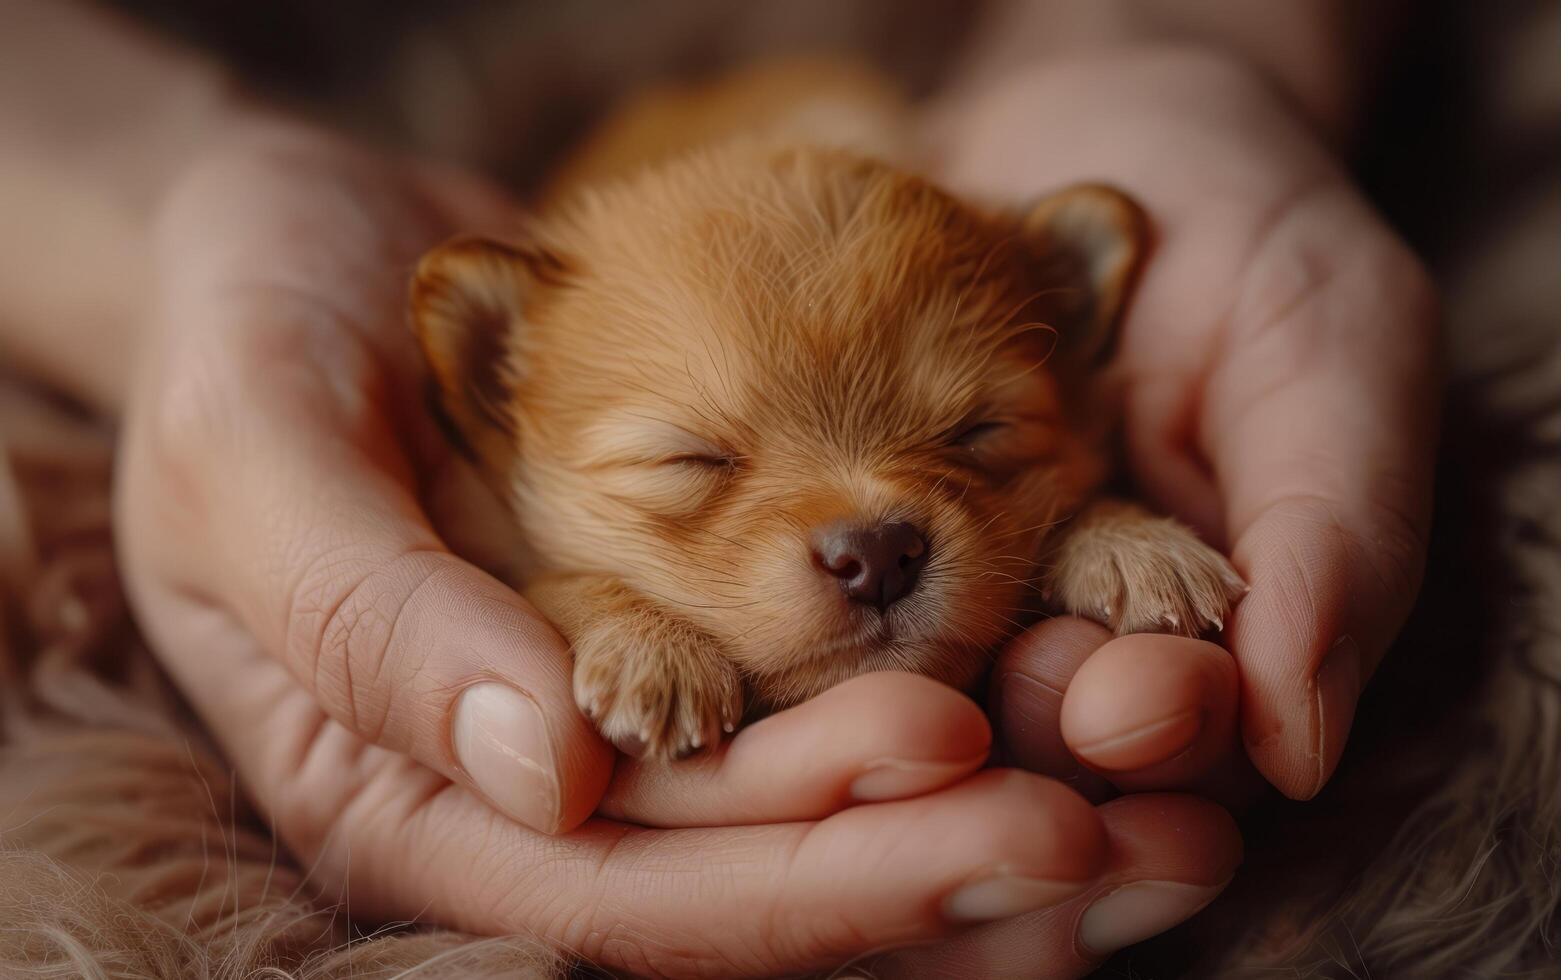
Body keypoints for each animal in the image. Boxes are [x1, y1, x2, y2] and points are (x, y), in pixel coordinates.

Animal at [412, 101, 1242, 758]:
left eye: (978, 429)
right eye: (691, 459)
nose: (877, 553)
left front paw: (1136, 543)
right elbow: (554, 576)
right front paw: (653, 648)